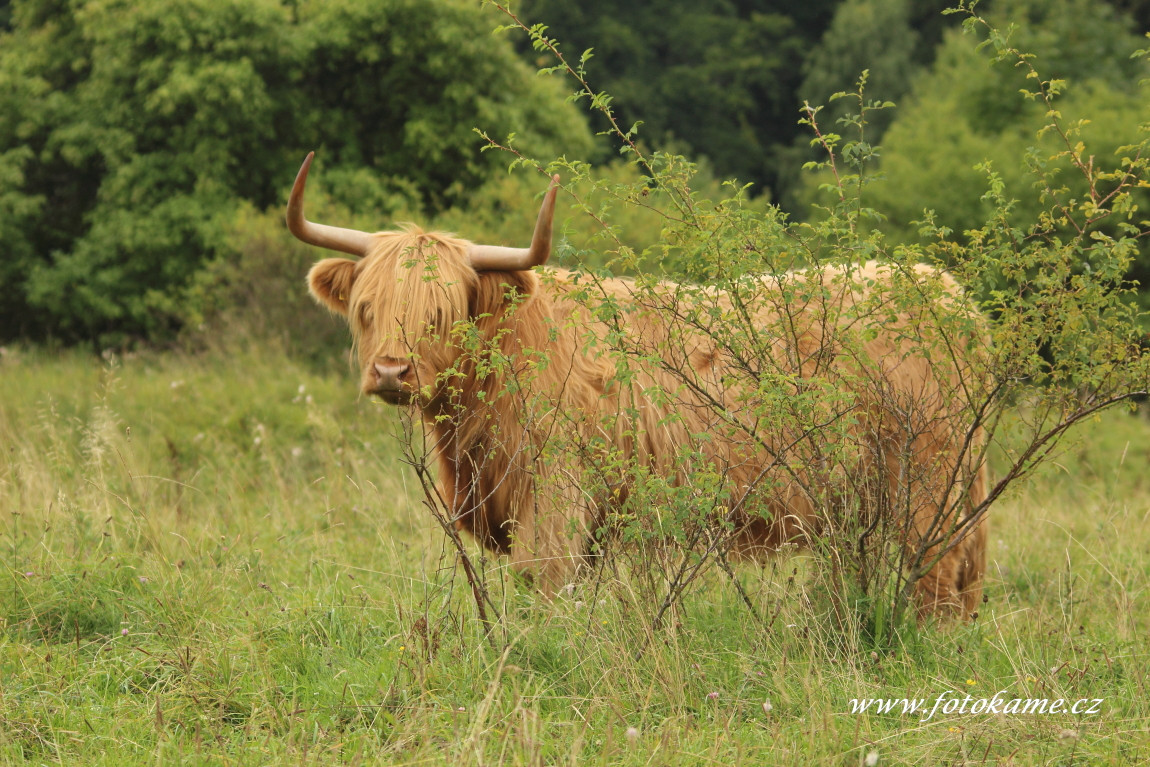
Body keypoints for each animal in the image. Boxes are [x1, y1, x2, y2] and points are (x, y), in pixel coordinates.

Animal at [289, 152, 989, 620]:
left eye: (440, 313)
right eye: (368, 308)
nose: (390, 371)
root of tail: (949, 293)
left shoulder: (555, 496)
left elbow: (546, 583)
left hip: (928, 480)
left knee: (940, 570)